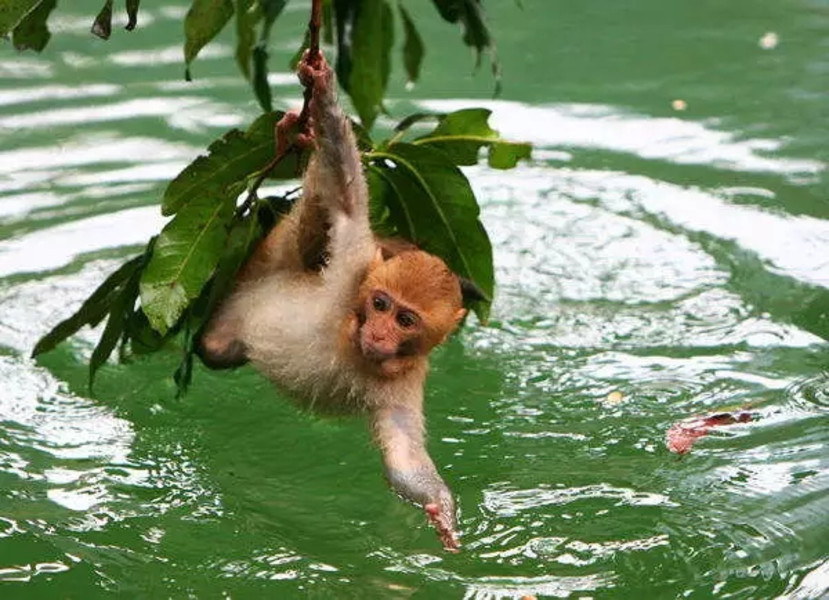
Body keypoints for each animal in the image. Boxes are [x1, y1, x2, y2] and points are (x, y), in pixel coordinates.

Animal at [196, 49, 466, 552]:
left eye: (405, 320)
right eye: (379, 305)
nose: (378, 332)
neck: (355, 345)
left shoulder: (405, 382)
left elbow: (403, 462)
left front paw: (442, 510)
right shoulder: (355, 268)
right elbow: (345, 196)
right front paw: (323, 89)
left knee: (216, 350)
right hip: (271, 266)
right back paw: (294, 135)